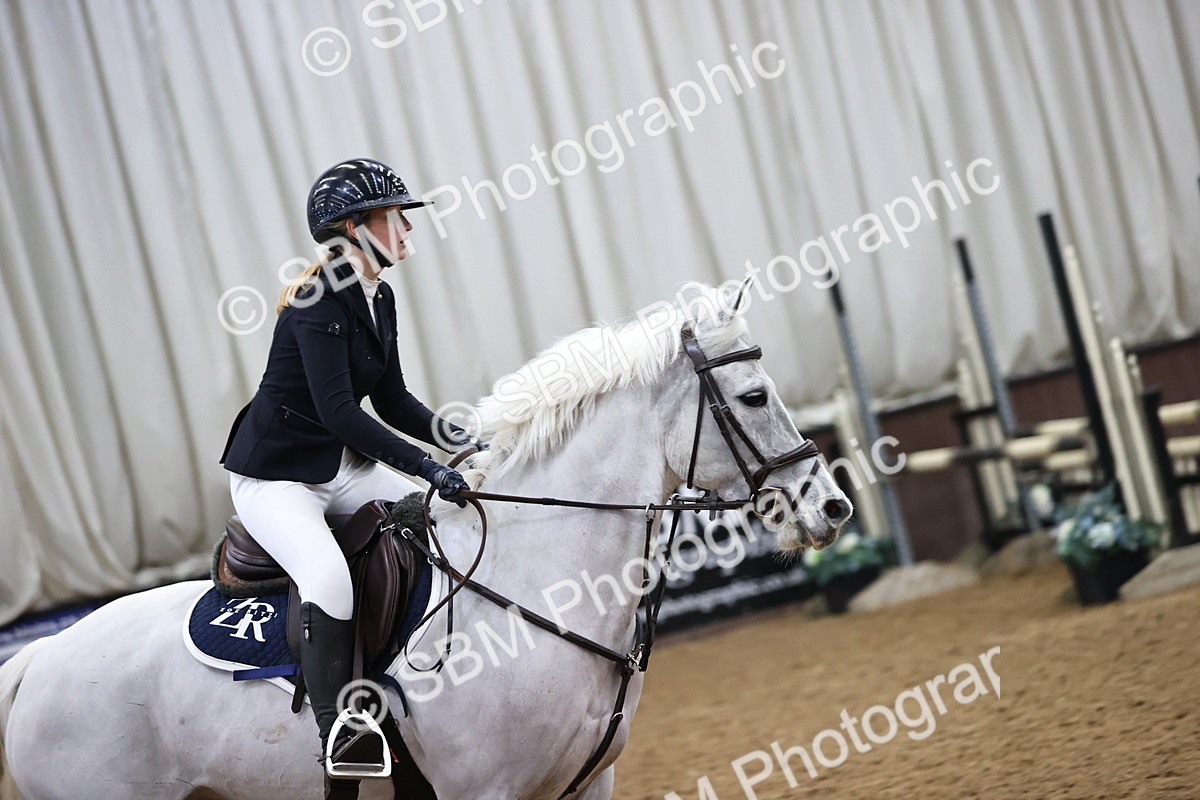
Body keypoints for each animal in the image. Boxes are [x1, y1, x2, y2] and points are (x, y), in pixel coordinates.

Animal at [0, 282, 852, 800]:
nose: (835, 507)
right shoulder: (486, 789)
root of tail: (40, 658)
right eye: (754, 395)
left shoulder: (588, 783)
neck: (540, 582)